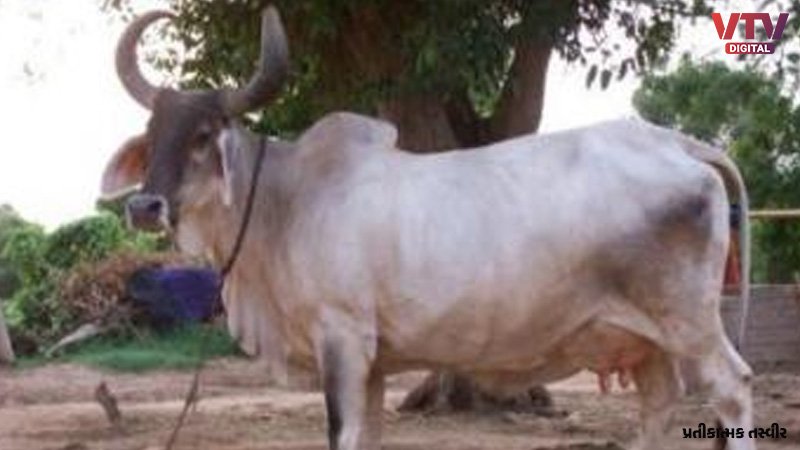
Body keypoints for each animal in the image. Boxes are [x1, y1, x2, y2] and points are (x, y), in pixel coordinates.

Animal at [101, 7, 755, 450]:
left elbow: (341, 433)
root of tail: (678, 143)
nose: (145, 207)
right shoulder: (372, 363)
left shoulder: (342, 338)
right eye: (153, 135)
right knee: (660, 405)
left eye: (203, 135)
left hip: (689, 322)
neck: (286, 203)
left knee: (733, 388)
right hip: (646, 341)